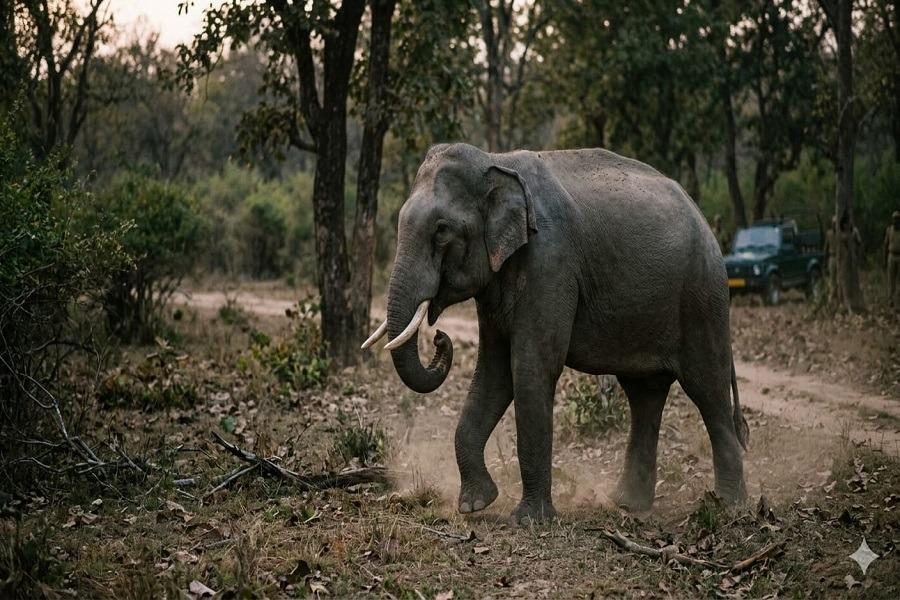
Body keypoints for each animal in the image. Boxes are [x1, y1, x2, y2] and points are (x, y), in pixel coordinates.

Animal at [362, 143, 749, 523]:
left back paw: (727, 506)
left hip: (702, 299)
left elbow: (531, 367)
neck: (495, 161)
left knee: (707, 390)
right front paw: (475, 504)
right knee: (644, 394)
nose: (441, 338)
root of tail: (705, 222)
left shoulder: (550, 262)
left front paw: (528, 520)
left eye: (441, 230)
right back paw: (627, 504)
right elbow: (494, 371)